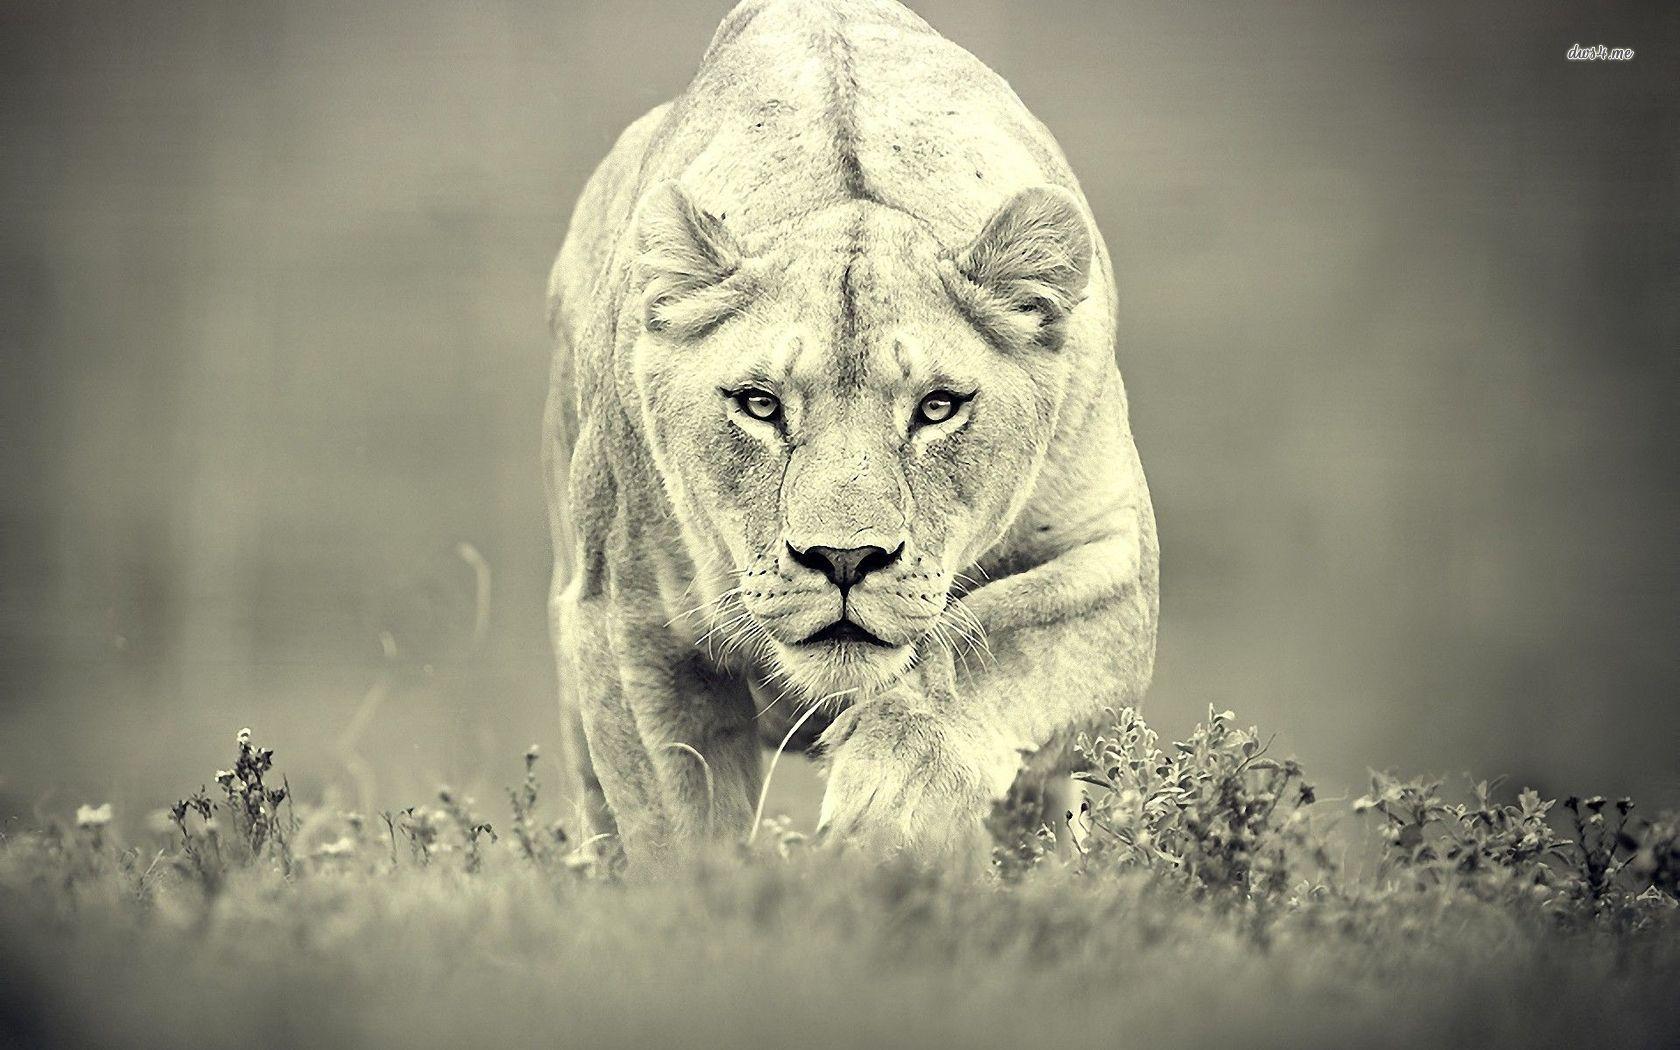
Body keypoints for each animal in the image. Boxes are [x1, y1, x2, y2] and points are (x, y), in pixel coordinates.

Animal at [544, 0, 1157, 867]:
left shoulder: (1116, 565)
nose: (843, 559)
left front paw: (888, 814)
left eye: (937, 407)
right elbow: (679, 832)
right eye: (760, 405)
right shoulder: (626, 622)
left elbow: (978, 648)